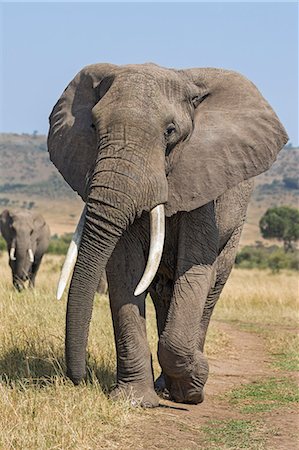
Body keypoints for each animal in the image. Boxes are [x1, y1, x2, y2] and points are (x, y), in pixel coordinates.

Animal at [48, 62, 290, 408]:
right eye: (93, 126)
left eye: (170, 131)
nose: (77, 378)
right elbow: (125, 269)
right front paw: (134, 400)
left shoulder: (204, 180)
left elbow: (196, 269)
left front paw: (194, 386)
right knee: (163, 290)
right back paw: (164, 387)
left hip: (237, 222)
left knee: (210, 287)